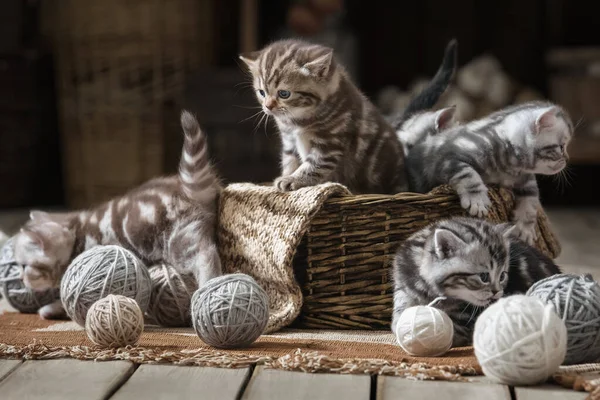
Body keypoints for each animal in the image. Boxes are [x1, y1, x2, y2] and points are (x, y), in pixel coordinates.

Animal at [12, 111, 223, 318]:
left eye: (24, 266)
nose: (21, 278)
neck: (77, 233)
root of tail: (183, 188)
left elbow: (69, 295)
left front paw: (52, 308)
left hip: (176, 241)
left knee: (205, 255)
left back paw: (208, 288)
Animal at [392, 216, 560, 346]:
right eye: (484, 277)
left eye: (502, 276)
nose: (497, 292)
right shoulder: (403, 287)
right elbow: (398, 319)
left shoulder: (465, 320)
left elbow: (451, 331)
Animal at [406, 100, 576, 244]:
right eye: (561, 147)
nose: (567, 159)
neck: (507, 166)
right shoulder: (448, 159)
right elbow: (469, 175)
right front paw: (477, 201)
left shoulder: (526, 178)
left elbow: (532, 200)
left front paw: (525, 228)